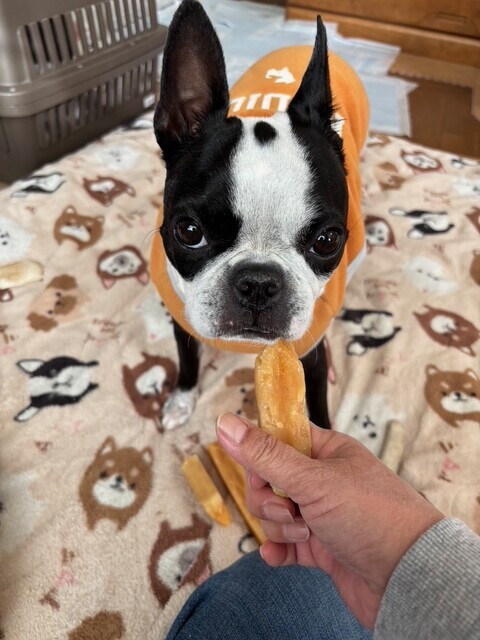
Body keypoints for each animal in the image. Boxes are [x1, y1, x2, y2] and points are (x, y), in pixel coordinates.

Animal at [150, 0, 368, 430]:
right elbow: (187, 359)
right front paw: (182, 399)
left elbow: (318, 402)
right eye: (189, 231)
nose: (258, 283)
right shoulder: (181, 316)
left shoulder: (309, 352)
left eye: (327, 241)